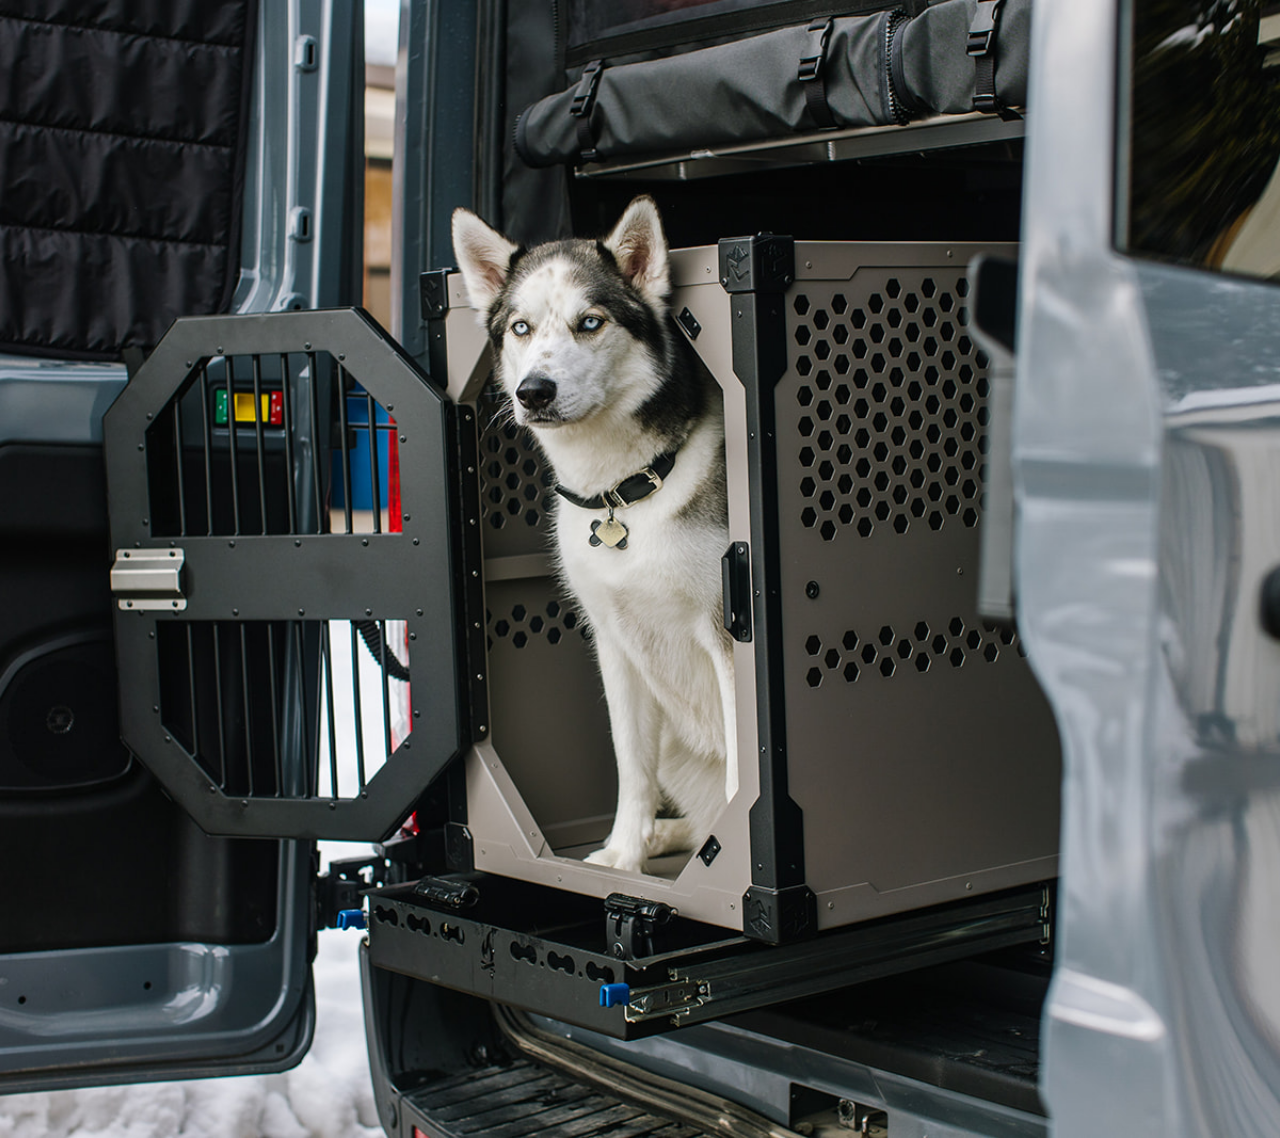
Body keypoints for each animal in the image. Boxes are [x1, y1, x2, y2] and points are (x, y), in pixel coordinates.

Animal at [453, 197, 737, 870]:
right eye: (520, 328)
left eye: (590, 322)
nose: (534, 391)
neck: (625, 492)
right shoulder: (616, 643)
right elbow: (631, 765)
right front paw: (624, 856)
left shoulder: (727, 637)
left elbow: (748, 772)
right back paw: (665, 838)